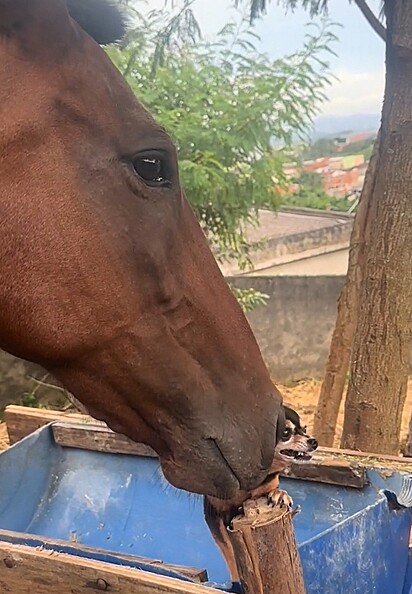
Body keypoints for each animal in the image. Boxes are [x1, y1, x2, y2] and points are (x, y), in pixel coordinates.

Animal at [204, 402, 318, 580]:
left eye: (304, 429)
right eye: (286, 433)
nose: (314, 441)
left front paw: (280, 494)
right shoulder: (215, 516)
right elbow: (230, 554)